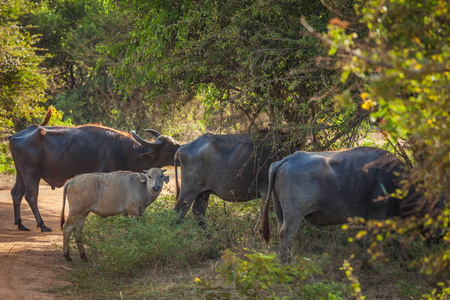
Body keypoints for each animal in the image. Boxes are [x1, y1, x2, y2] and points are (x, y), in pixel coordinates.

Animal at [8, 109, 181, 232]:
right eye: (170, 146)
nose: (181, 147)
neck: (123, 150)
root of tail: (16, 136)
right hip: (32, 172)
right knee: (31, 195)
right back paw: (42, 225)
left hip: (20, 173)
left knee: (16, 193)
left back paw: (20, 224)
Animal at [260, 147, 422, 262]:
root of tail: (287, 159)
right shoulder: (377, 214)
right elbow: (370, 241)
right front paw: (367, 265)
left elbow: (393, 237)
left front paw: (404, 259)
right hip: (294, 214)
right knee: (286, 234)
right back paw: (286, 265)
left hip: (280, 212)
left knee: (281, 233)